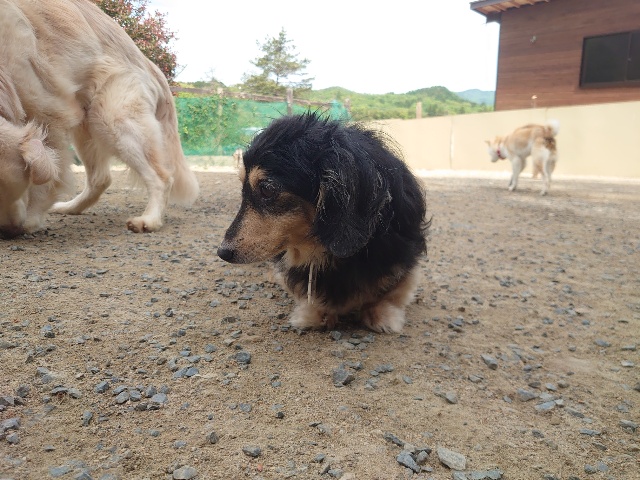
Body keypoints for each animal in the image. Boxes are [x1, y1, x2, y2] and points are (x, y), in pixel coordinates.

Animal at [0, 0, 199, 239]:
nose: (9, 232)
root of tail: (148, 63)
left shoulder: (49, 111)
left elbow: (48, 179)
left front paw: (32, 219)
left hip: (112, 120)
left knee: (162, 177)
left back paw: (149, 220)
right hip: (86, 127)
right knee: (101, 179)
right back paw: (70, 207)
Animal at [217, 112, 429, 333]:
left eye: (267, 189)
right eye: (242, 187)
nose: (222, 252)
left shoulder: (403, 258)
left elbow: (394, 289)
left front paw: (382, 314)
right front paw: (313, 314)